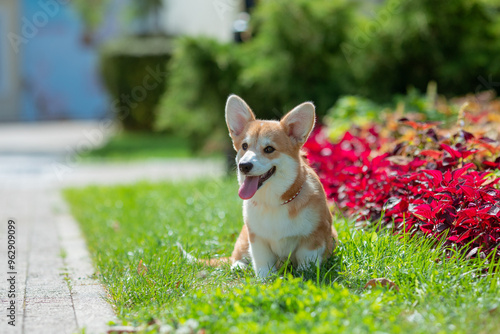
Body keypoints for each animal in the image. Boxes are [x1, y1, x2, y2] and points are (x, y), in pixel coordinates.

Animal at [226, 94, 338, 280]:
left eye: (269, 149)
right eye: (244, 146)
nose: (244, 166)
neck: (273, 201)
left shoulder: (313, 237)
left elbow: (307, 260)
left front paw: (303, 275)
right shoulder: (257, 239)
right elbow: (262, 262)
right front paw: (265, 279)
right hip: (243, 238)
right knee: (236, 257)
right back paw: (238, 266)